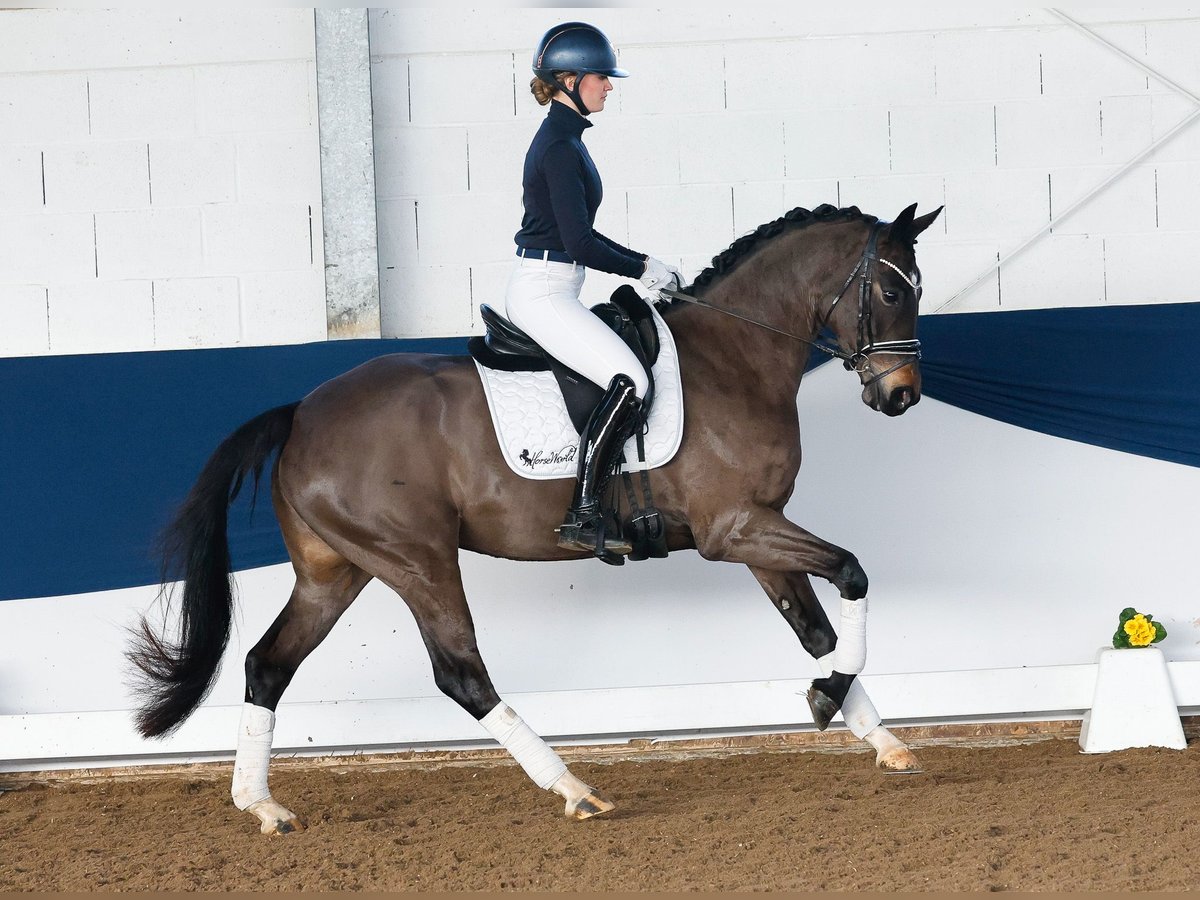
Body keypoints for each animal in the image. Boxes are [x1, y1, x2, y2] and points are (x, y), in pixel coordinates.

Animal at [129, 200, 936, 835]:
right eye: (892, 290)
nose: (901, 395)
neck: (735, 356)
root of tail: (299, 413)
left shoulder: (756, 529)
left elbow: (816, 630)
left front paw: (872, 731)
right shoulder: (732, 528)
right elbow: (853, 573)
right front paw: (833, 700)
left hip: (338, 570)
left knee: (268, 664)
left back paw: (262, 805)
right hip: (417, 561)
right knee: (461, 674)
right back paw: (574, 788)